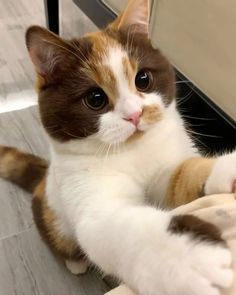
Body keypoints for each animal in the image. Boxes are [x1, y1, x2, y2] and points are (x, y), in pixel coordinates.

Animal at [0, 0, 236, 295]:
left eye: (143, 79)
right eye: (95, 98)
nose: (135, 114)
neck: (133, 150)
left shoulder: (164, 168)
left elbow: (181, 176)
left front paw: (226, 169)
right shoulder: (87, 193)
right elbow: (120, 228)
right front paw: (187, 258)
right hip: (54, 213)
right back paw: (75, 263)